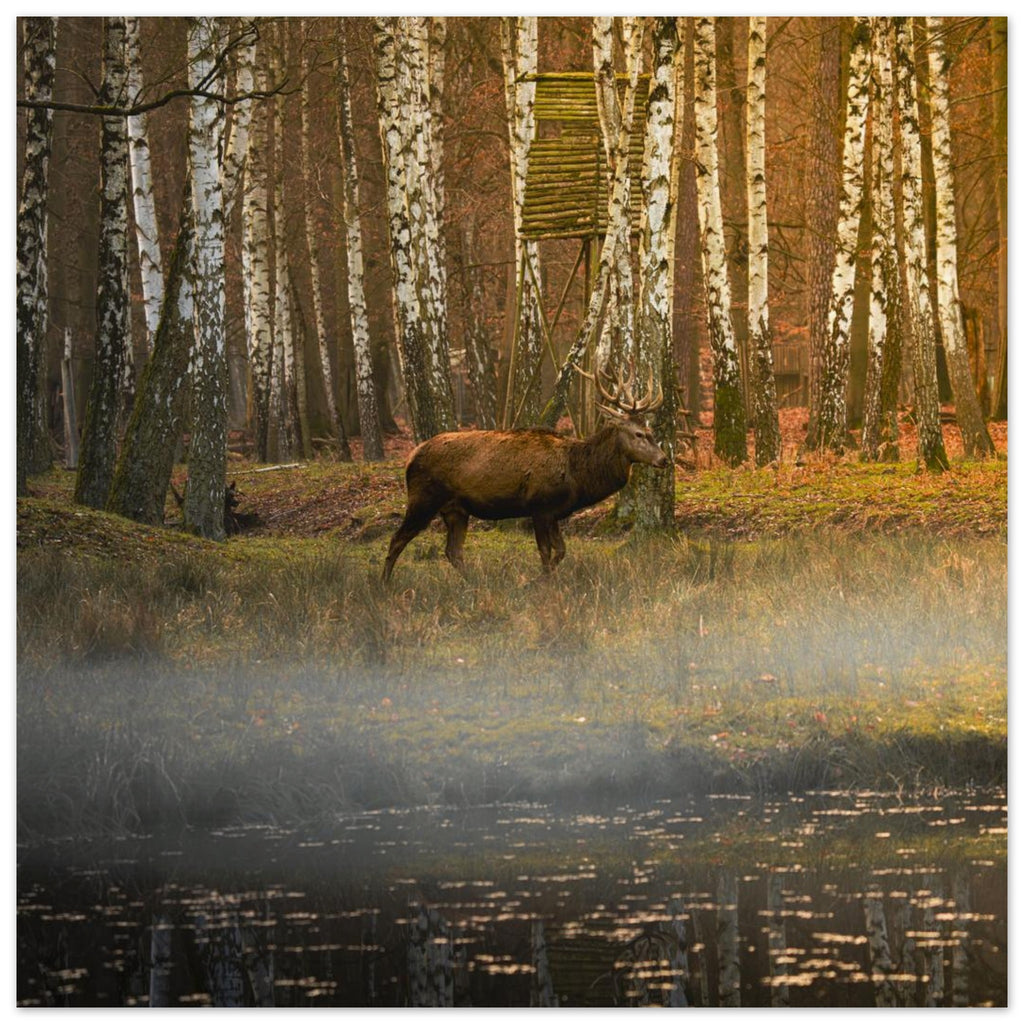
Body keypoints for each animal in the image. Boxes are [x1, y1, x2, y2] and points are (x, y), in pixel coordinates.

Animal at [382, 364, 669, 581]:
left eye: (651, 431)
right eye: (639, 433)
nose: (664, 459)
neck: (577, 476)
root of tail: (410, 457)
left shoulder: (554, 512)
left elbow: (561, 551)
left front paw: (542, 579)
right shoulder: (539, 506)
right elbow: (546, 552)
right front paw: (540, 582)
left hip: (456, 510)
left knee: (453, 552)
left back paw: (475, 582)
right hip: (423, 499)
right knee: (397, 539)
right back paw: (384, 584)